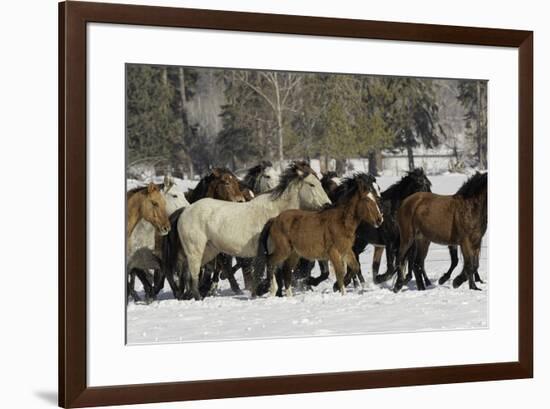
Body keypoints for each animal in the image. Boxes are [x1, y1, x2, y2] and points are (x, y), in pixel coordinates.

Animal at [177, 162, 332, 300]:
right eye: (311, 184)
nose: (328, 205)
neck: (276, 212)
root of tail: (185, 211)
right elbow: (274, 275)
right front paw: (267, 291)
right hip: (195, 251)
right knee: (194, 274)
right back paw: (198, 297)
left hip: (209, 252)